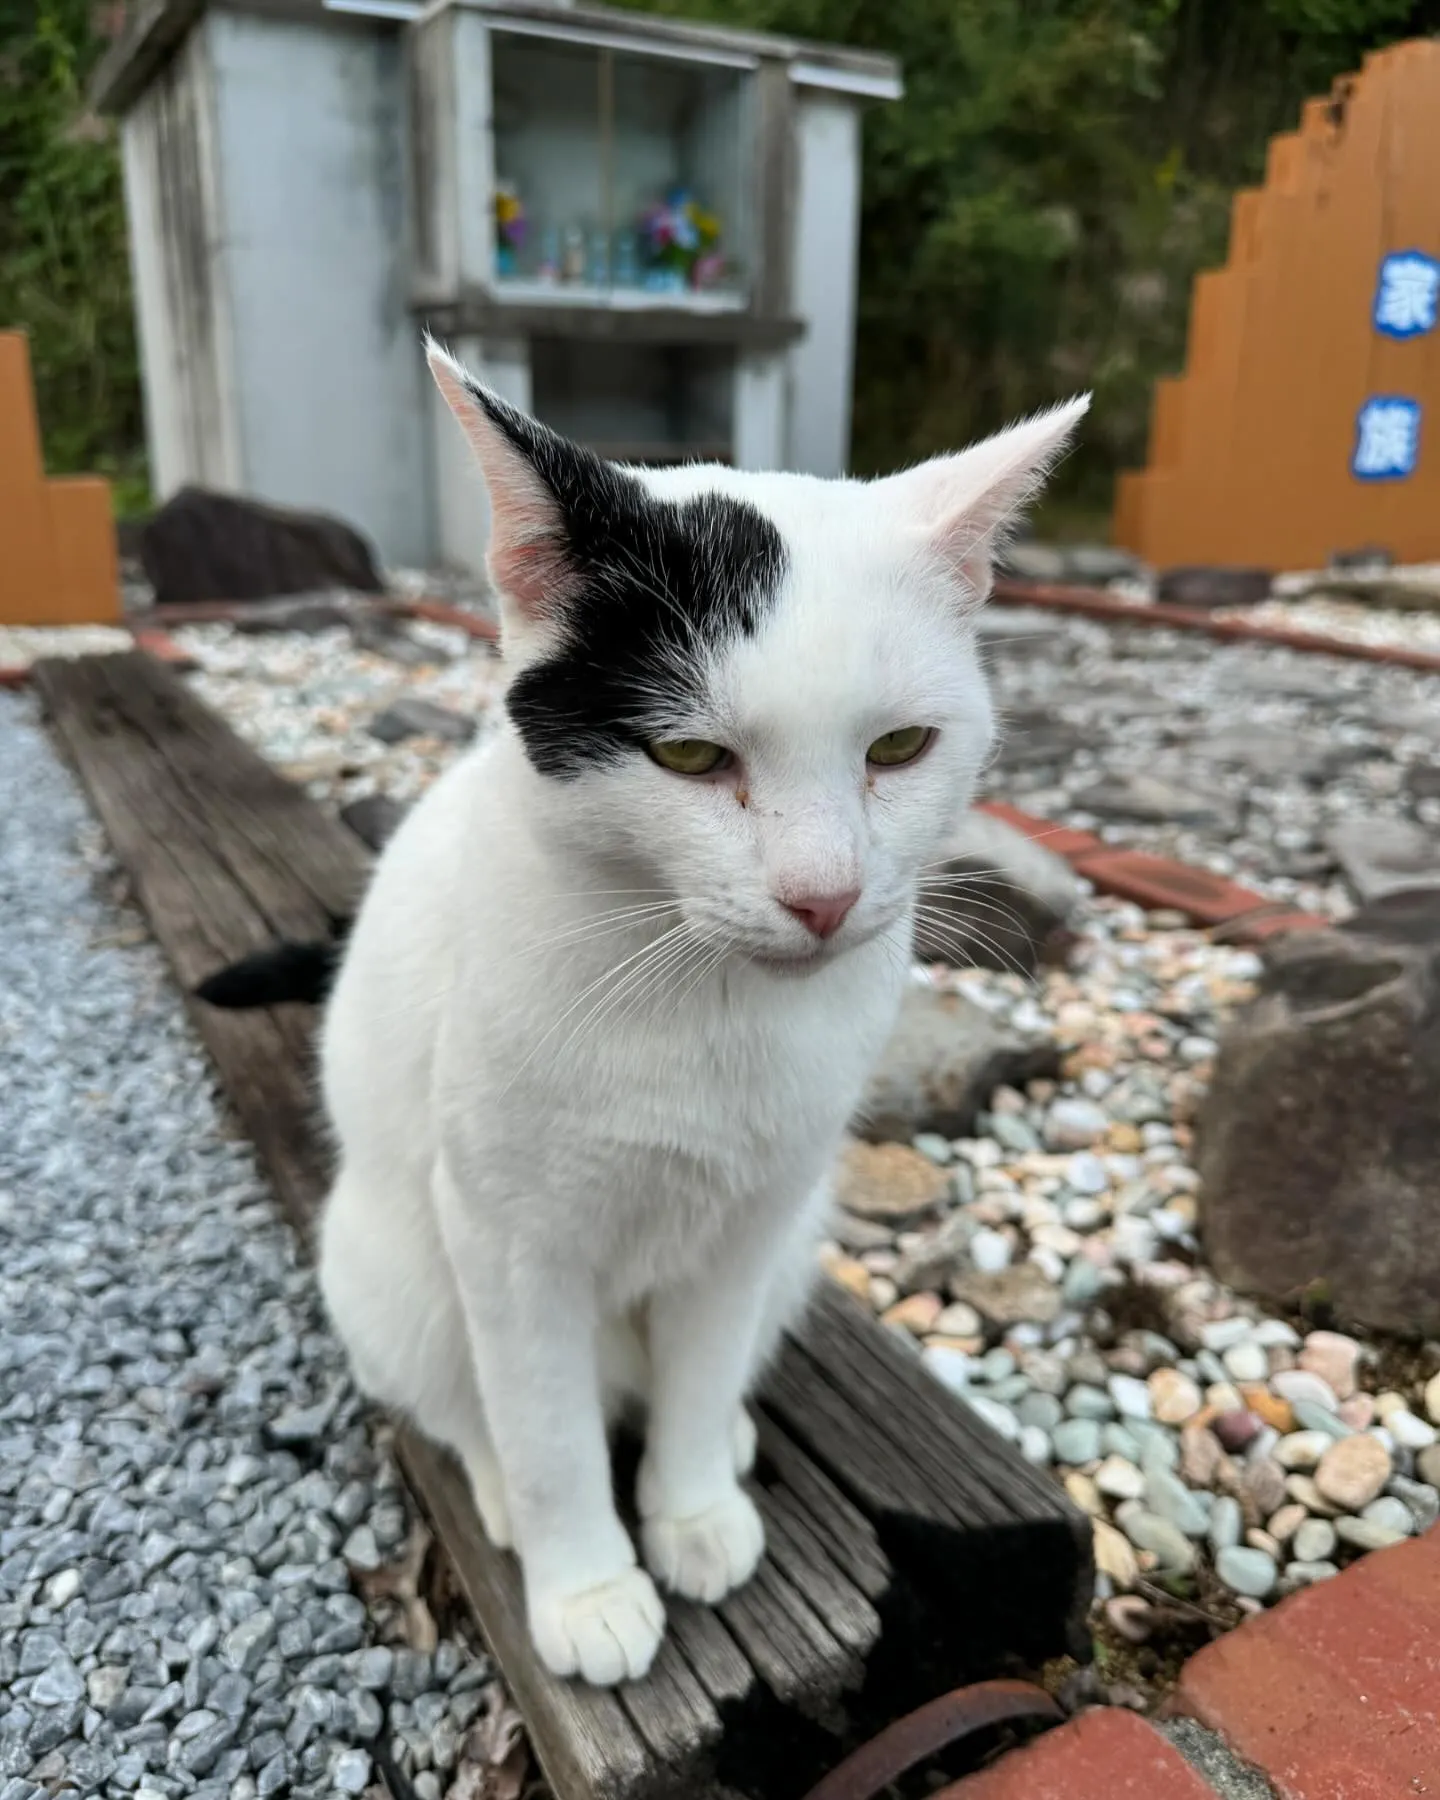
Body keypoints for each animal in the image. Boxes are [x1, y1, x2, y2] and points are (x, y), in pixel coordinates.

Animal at [311, 340, 1080, 1684]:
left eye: (900, 747)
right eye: (686, 758)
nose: (824, 897)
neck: (701, 996)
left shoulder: (755, 1214)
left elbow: (706, 1364)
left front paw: (692, 1510)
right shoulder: (508, 1241)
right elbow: (548, 1429)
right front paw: (585, 1585)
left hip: (795, 1246)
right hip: (386, 1266)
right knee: (469, 1405)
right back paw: (503, 1496)